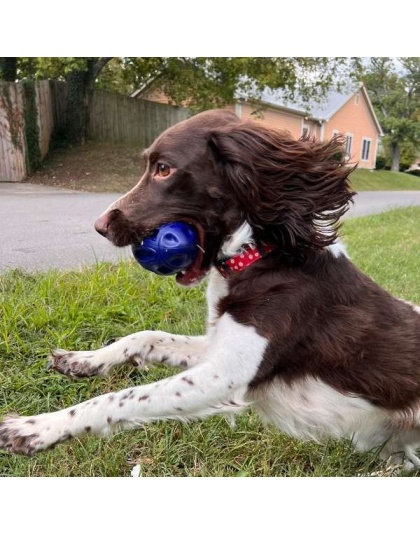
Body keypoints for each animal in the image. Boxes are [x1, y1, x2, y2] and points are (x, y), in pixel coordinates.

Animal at [0, 110, 420, 474]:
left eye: (164, 169)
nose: (100, 226)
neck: (258, 255)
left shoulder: (225, 375)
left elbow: (121, 397)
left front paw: (37, 428)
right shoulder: (218, 346)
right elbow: (145, 337)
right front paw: (83, 360)